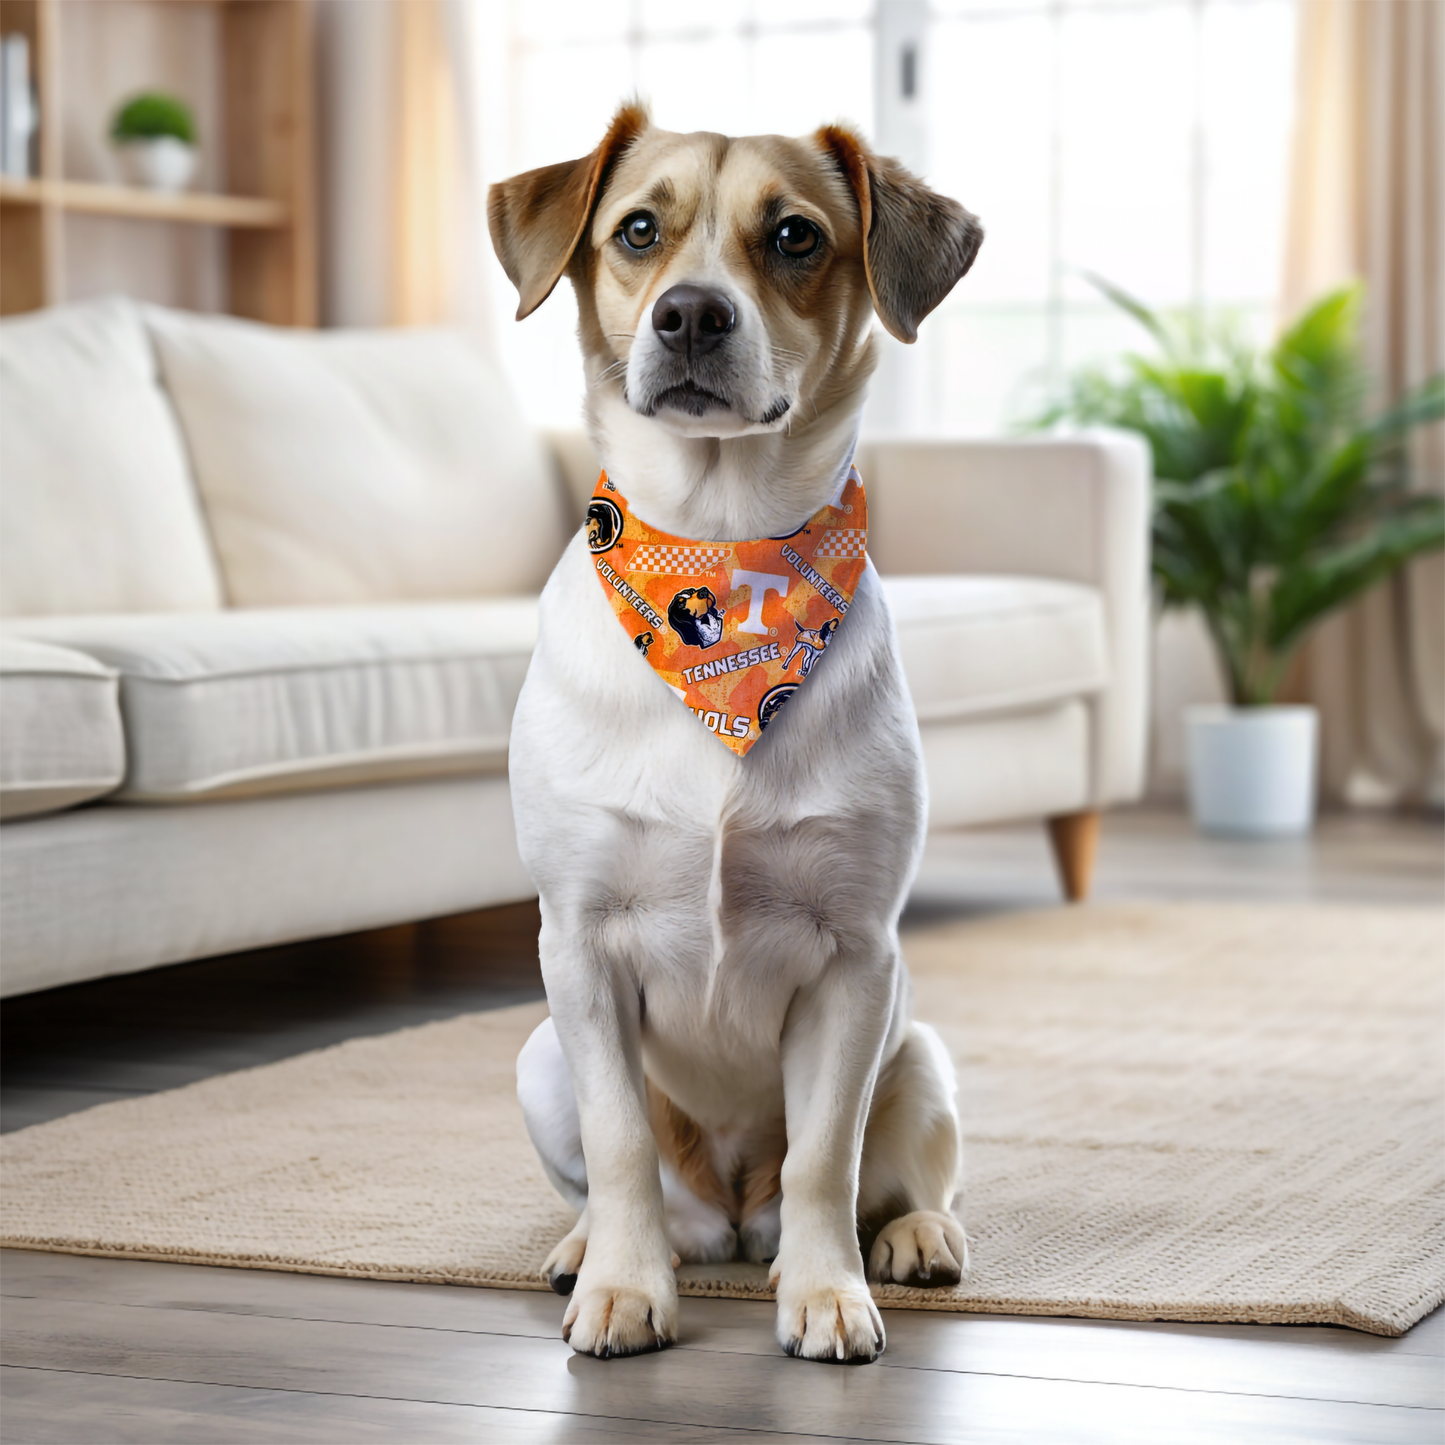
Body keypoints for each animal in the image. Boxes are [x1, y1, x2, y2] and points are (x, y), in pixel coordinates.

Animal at [488, 104, 982, 1364]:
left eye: (795, 235)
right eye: (637, 229)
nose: (692, 314)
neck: (715, 545)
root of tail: (726, 1213)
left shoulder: (856, 957)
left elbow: (823, 1156)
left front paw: (825, 1292)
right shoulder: (578, 947)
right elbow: (618, 1144)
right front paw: (622, 1285)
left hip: (920, 1053)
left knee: (897, 1176)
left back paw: (909, 1238)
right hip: (540, 1054)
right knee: (632, 1181)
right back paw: (593, 1247)